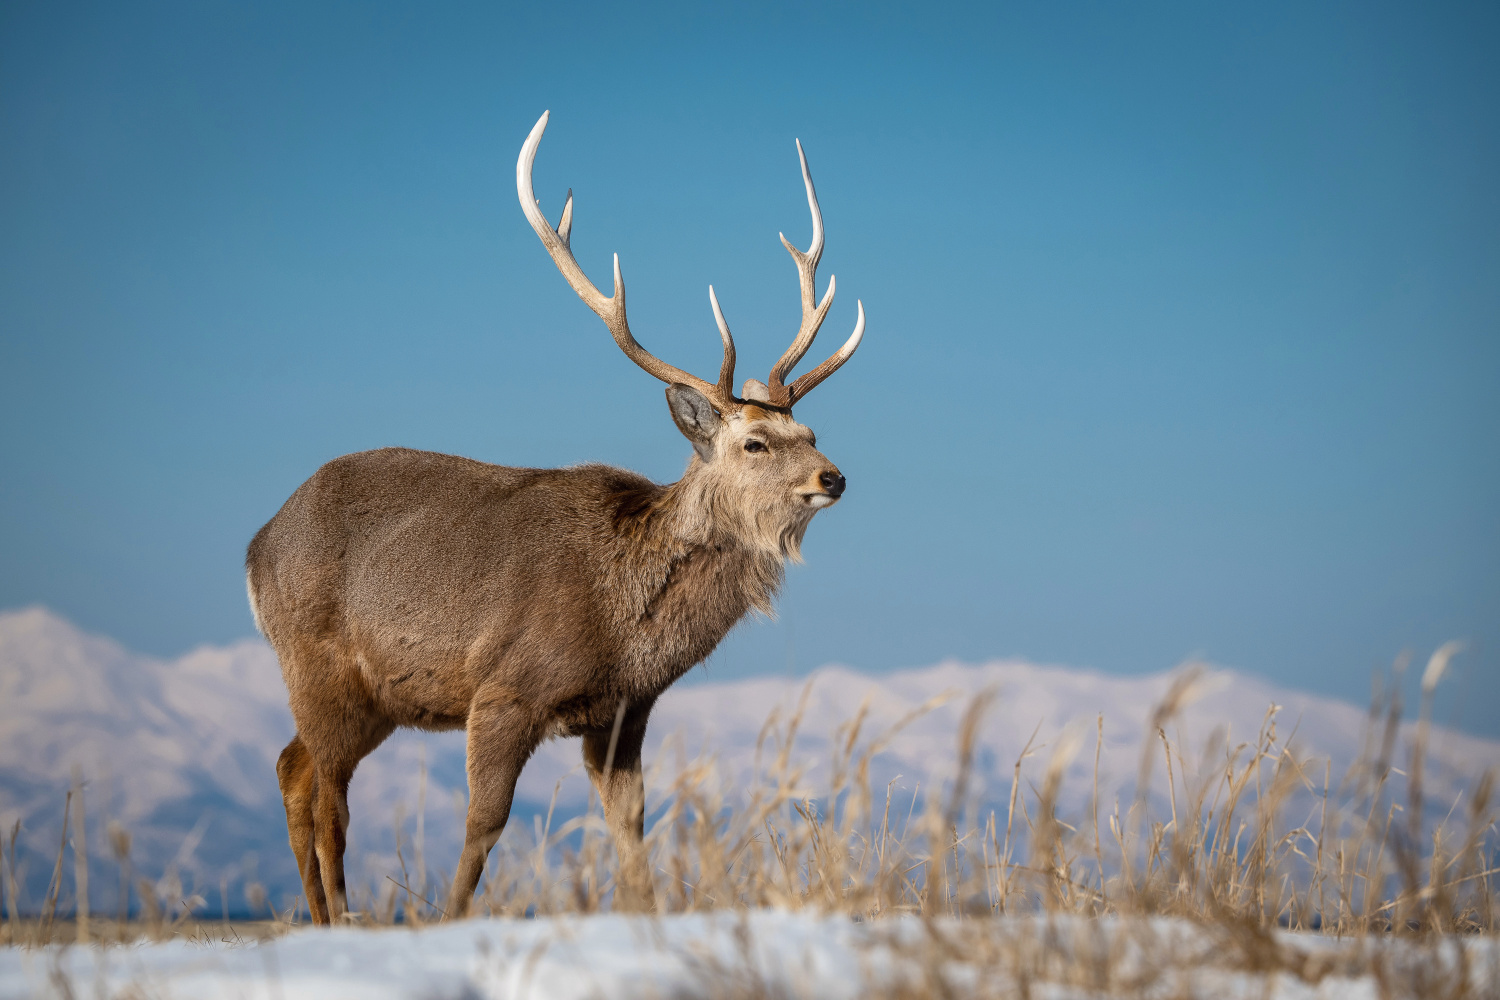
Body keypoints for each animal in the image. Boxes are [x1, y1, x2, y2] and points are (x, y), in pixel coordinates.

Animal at [246, 109, 870, 923]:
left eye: (813, 432)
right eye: (755, 442)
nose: (834, 477)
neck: (623, 624)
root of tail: (255, 546)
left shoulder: (624, 712)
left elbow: (631, 828)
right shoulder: (504, 688)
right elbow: (484, 825)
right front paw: (451, 918)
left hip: (375, 695)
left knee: (293, 768)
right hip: (317, 664)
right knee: (327, 798)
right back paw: (338, 920)